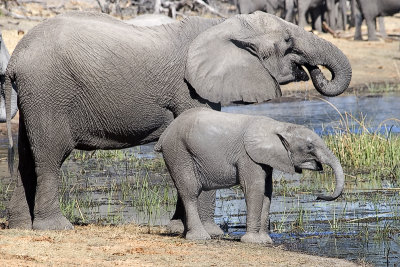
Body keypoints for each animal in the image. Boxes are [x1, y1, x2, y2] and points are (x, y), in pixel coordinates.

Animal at [155, 108, 346, 244]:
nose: (319, 196)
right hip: (178, 152)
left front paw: (265, 241)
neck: (278, 126)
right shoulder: (247, 156)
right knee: (191, 191)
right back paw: (200, 237)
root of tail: (164, 135)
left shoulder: (264, 159)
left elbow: (267, 192)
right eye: (309, 147)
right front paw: (253, 241)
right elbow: (254, 188)